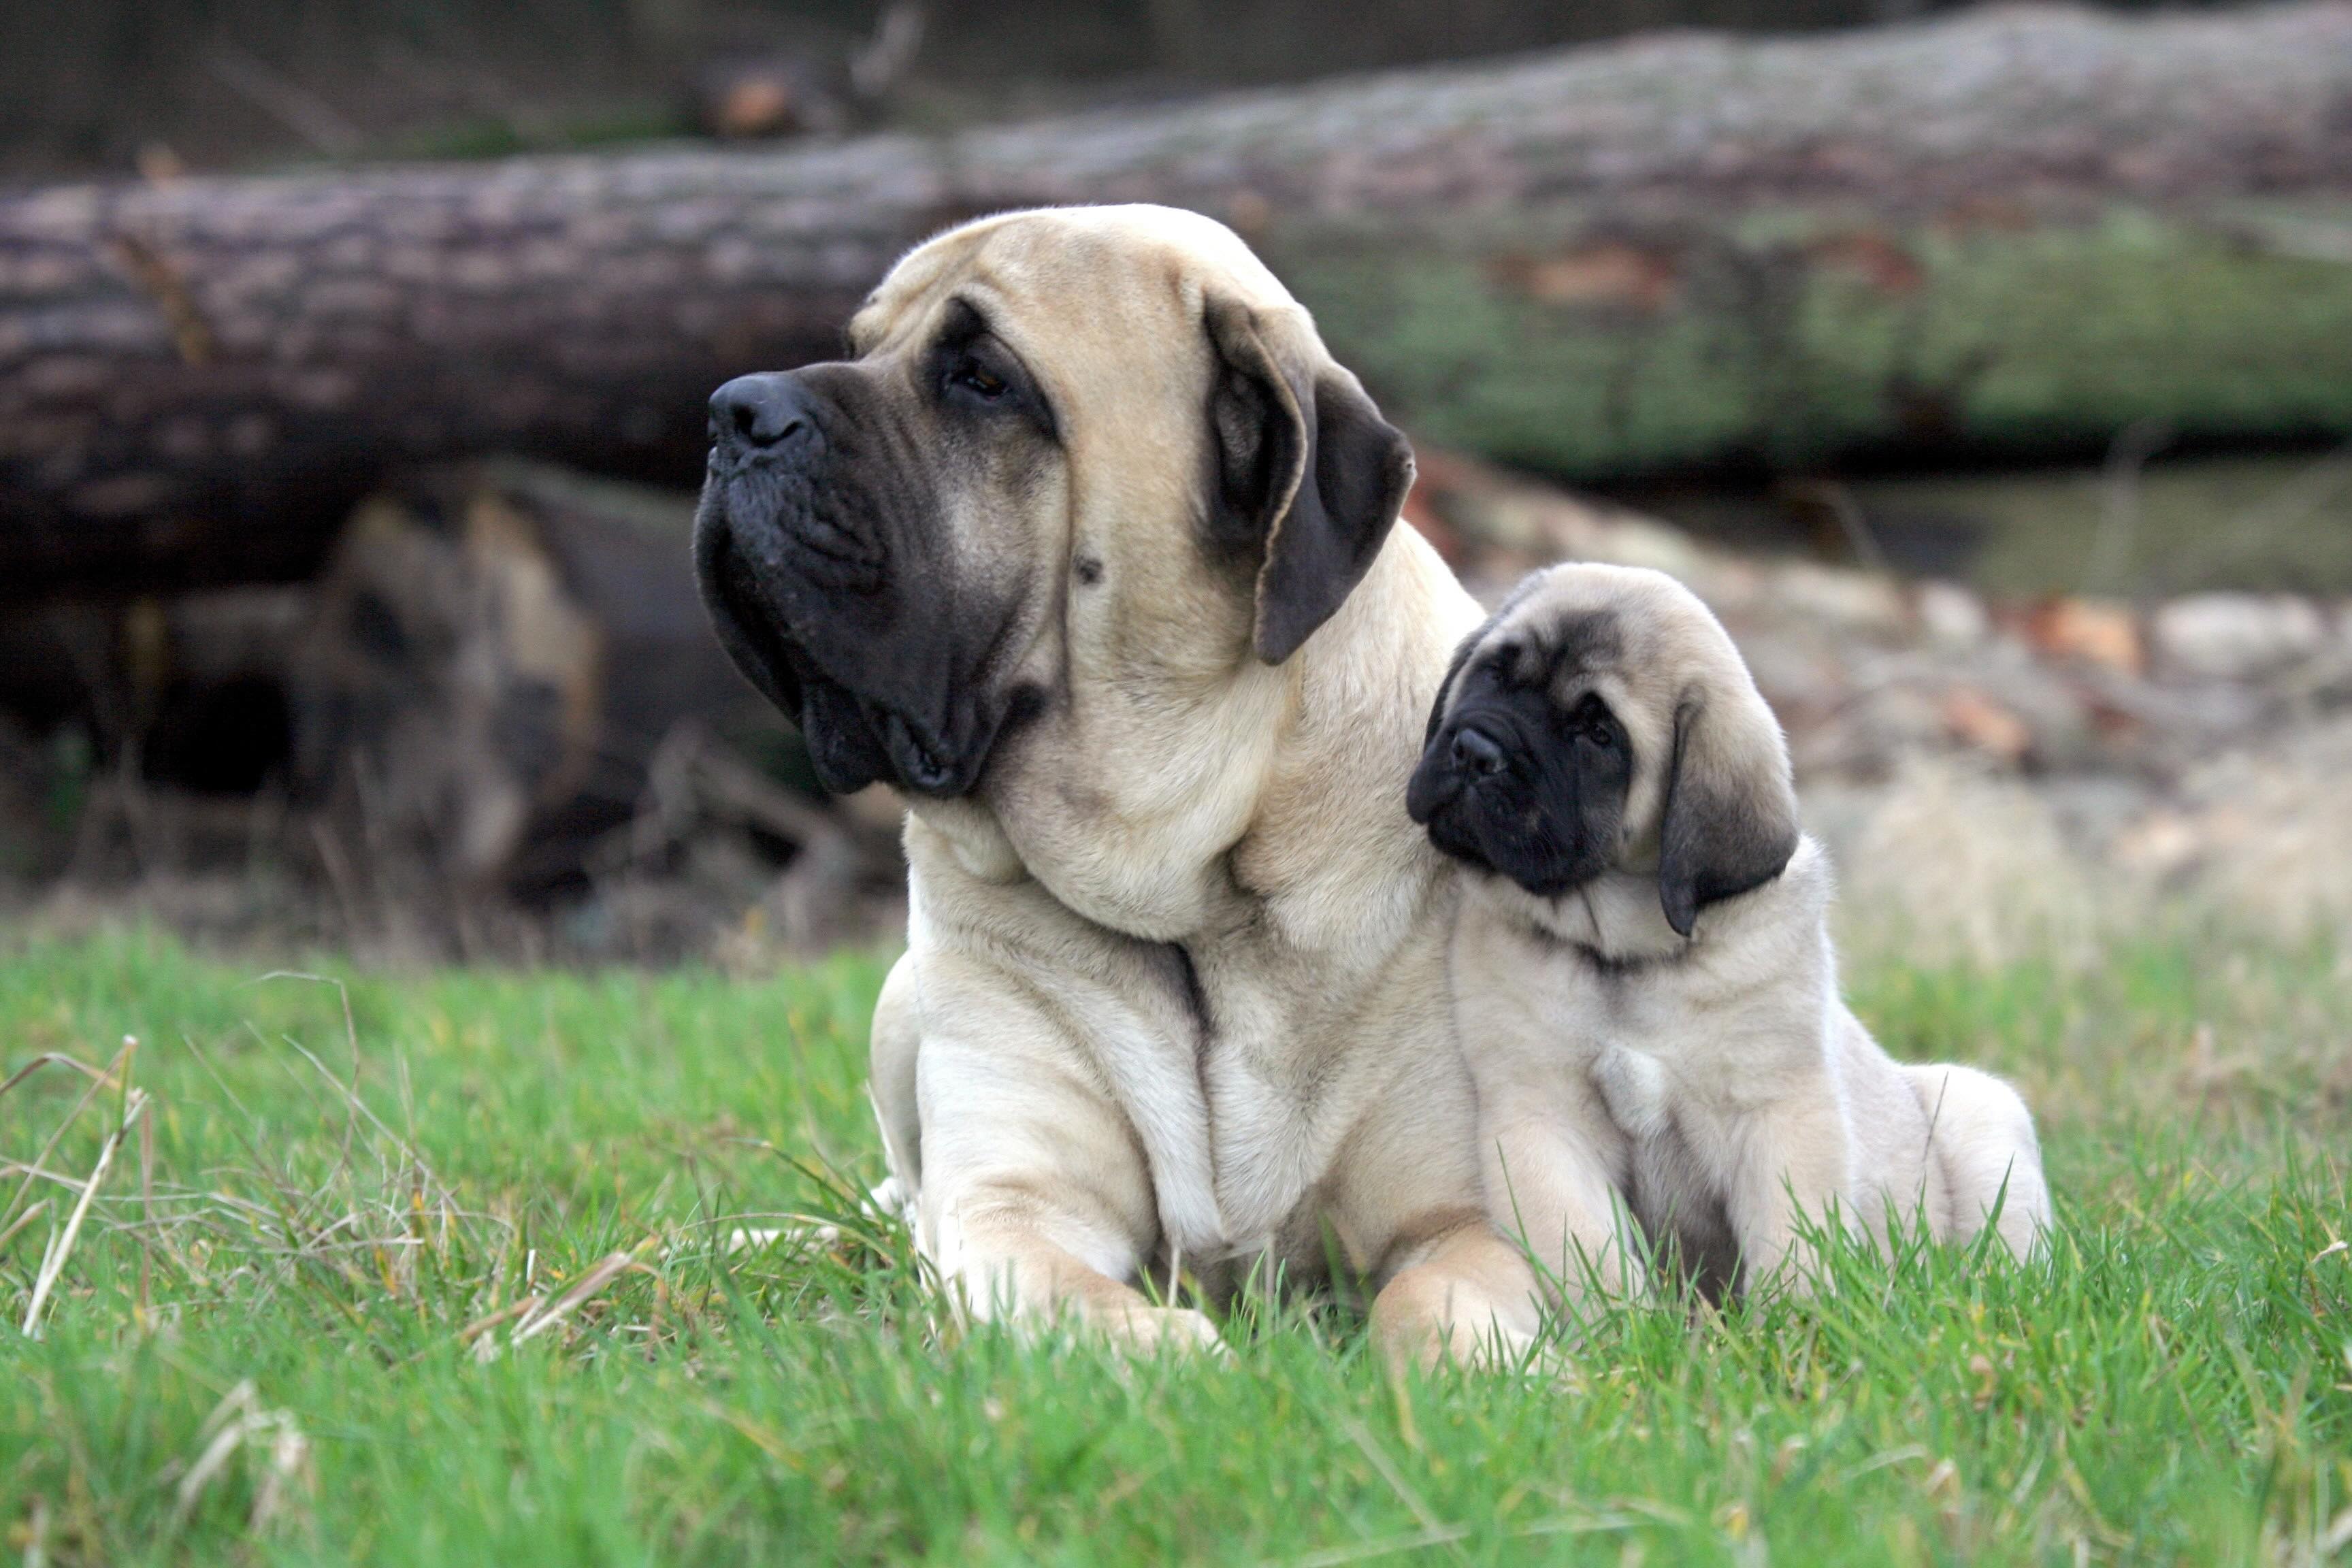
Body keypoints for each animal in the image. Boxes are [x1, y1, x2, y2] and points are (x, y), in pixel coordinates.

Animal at [691, 206, 1543, 1363]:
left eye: (984, 379)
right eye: (863, 346)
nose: (733, 413)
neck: (1195, 894)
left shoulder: (1470, 1218)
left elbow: (1441, 1313)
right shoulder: (1013, 1204)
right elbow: (1083, 1306)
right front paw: (1197, 1362)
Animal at [1401, 571, 2051, 1307]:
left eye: (1599, 733)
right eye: (1494, 672)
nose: (1475, 750)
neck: (1626, 956)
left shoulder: (1777, 1116)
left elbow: (1794, 1250)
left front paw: (1795, 1329)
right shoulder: (1541, 1122)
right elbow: (1588, 1256)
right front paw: (1620, 1330)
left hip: (1982, 1111)